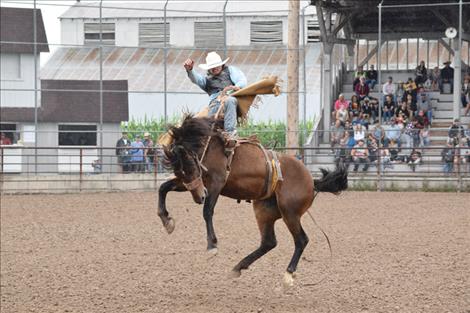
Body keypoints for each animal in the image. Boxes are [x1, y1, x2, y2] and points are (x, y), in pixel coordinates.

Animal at [156, 115, 346, 286]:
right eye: (178, 170)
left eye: (189, 164)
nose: (199, 197)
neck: (209, 148)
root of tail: (311, 181)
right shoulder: (195, 184)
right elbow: (163, 188)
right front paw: (167, 221)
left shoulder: (216, 183)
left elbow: (207, 211)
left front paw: (212, 246)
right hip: (264, 210)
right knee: (269, 242)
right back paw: (238, 267)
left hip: (290, 212)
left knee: (301, 240)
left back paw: (288, 274)